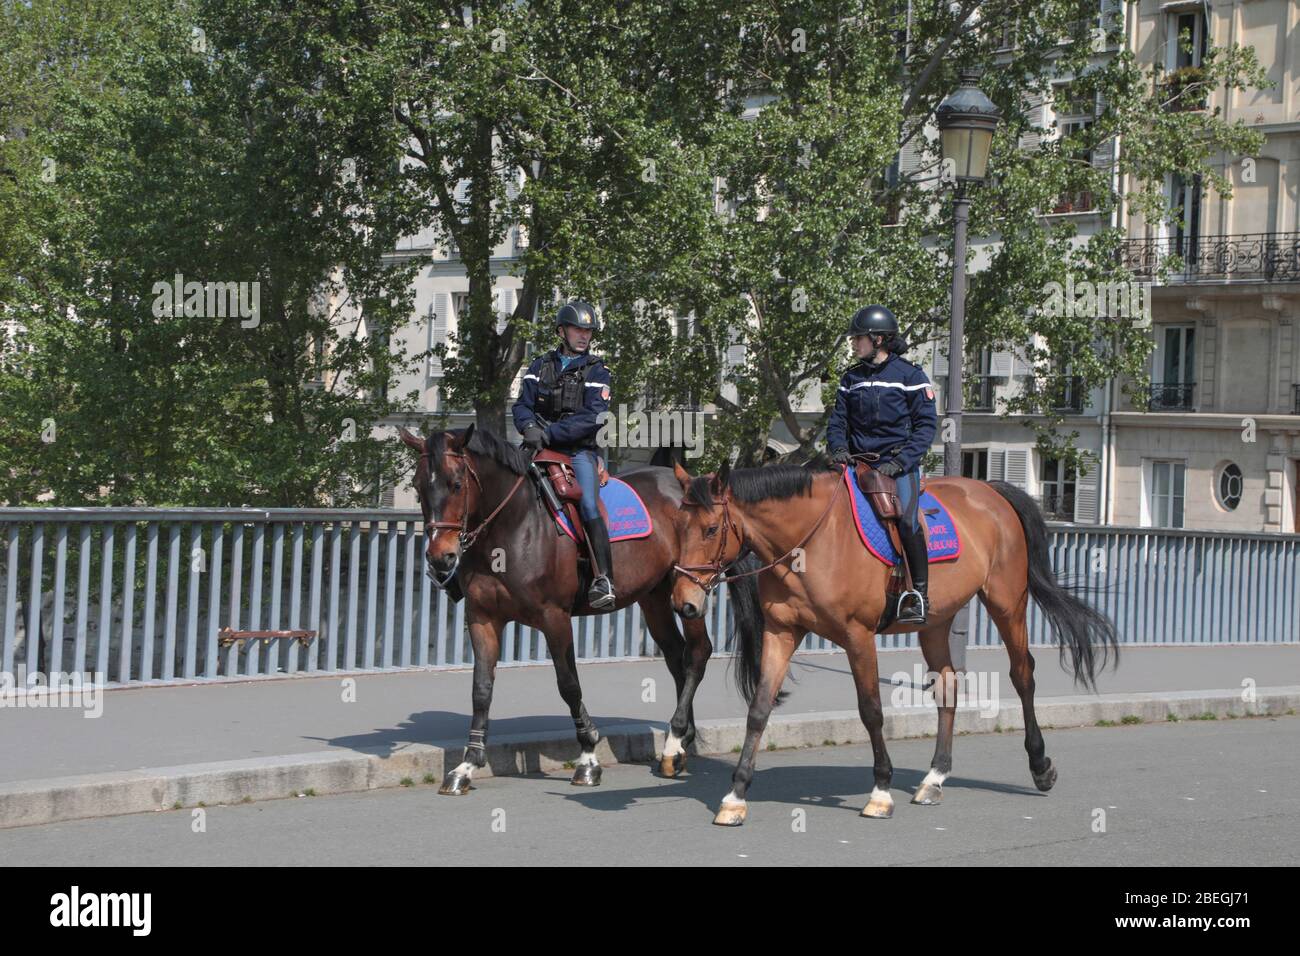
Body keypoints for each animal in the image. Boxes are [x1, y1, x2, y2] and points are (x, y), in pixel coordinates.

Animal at [400, 426, 759, 790]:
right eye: (418, 485)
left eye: (457, 484)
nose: (440, 557)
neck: (513, 526)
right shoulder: (483, 618)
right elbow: (481, 689)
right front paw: (468, 764)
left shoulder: (554, 618)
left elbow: (569, 684)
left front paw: (588, 757)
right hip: (655, 597)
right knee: (676, 656)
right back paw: (681, 742)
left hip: (689, 592)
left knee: (697, 653)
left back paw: (676, 735)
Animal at [670, 463, 1118, 822]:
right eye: (678, 528)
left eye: (711, 529)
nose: (683, 603)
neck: (809, 541)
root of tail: (990, 491)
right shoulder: (781, 632)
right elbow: (759, 710)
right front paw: (735, 795)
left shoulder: (858, 636)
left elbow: (871, 711)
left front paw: (881, 791)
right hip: (936, 622)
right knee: (948, 686)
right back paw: (935, 777)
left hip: (1007, 603)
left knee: (1023, 675)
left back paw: (1040, 765)